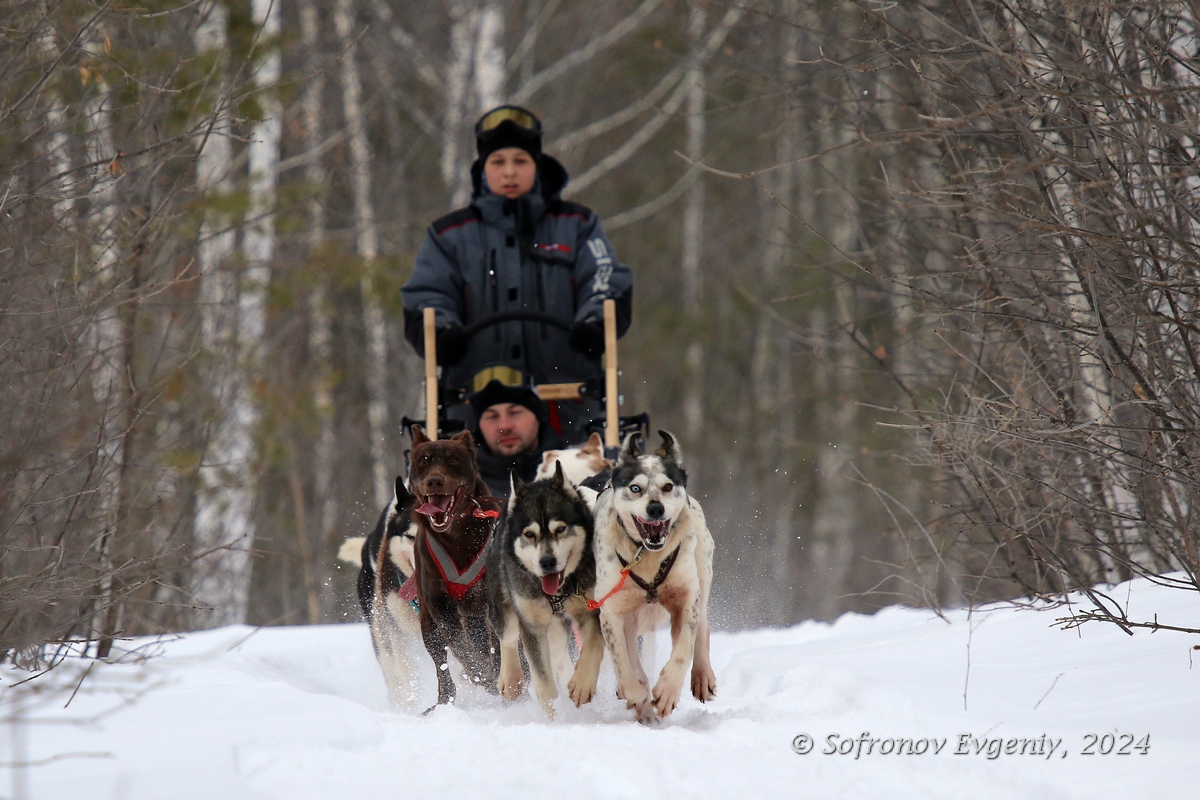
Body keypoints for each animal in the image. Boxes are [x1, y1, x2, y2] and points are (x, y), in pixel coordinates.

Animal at [588, 429, 710, 724]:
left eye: (667, 487)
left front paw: (666, 692)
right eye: (635, 488)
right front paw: (636, 693)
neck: (647, 557)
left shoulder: (686, 601)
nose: (655, 509)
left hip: (702, 576)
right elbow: (624, 663)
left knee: (702, 629)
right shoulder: (612, 611)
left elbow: (683, 650)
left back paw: (702, 676)